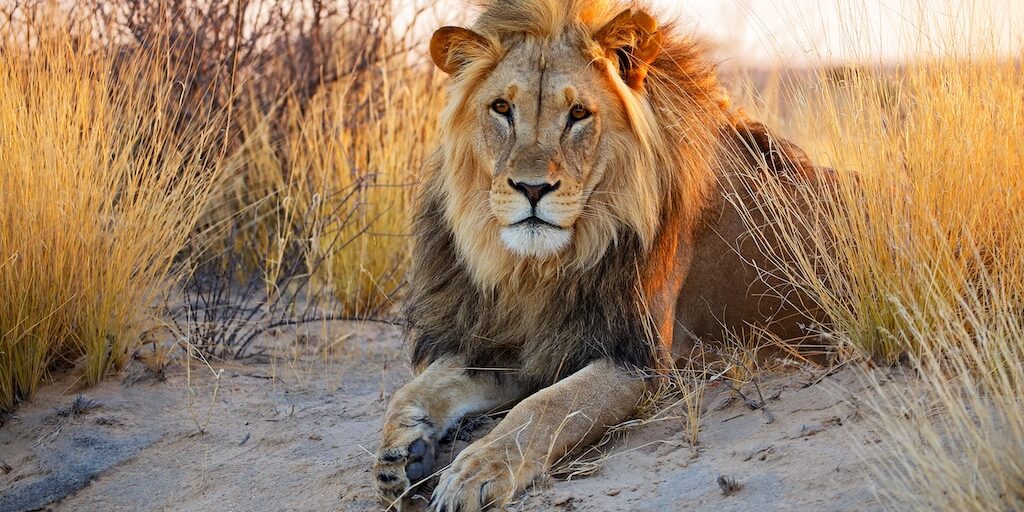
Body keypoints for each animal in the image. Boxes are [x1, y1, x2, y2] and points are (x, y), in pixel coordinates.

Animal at [374, 1, 830, 510]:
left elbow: (545, 407)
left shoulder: (638, 360)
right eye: (501, 108)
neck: (539, 270)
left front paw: (473, 472)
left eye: (578, 113)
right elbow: (416, 388)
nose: (532, 188)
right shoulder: (520, 340)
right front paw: (399, 454)